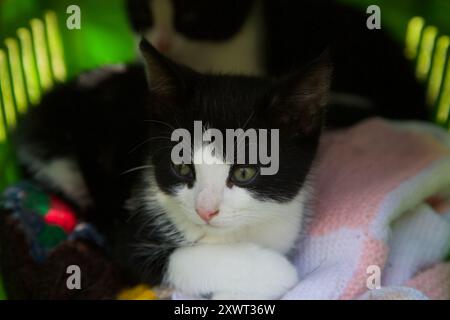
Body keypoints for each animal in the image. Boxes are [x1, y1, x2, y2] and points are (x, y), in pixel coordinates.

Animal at [14, 40, 330, 300]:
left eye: (244, 172)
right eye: (182, 167)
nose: (205, 211)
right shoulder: (128, 239)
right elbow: (180, 258)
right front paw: (276, 270)